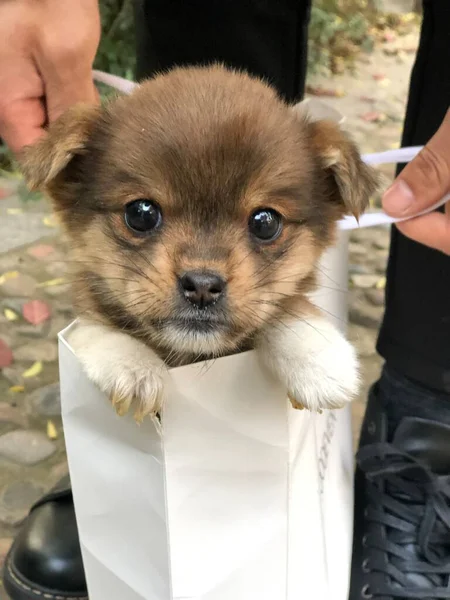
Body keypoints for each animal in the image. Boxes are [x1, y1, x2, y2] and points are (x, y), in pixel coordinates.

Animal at [21, 64, 380, 422]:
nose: (203, 285)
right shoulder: (86, 313)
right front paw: (134, 365)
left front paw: (318, 356)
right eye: (140, 213)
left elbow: (287, 306)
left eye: (266, 222)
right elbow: (93, 327)